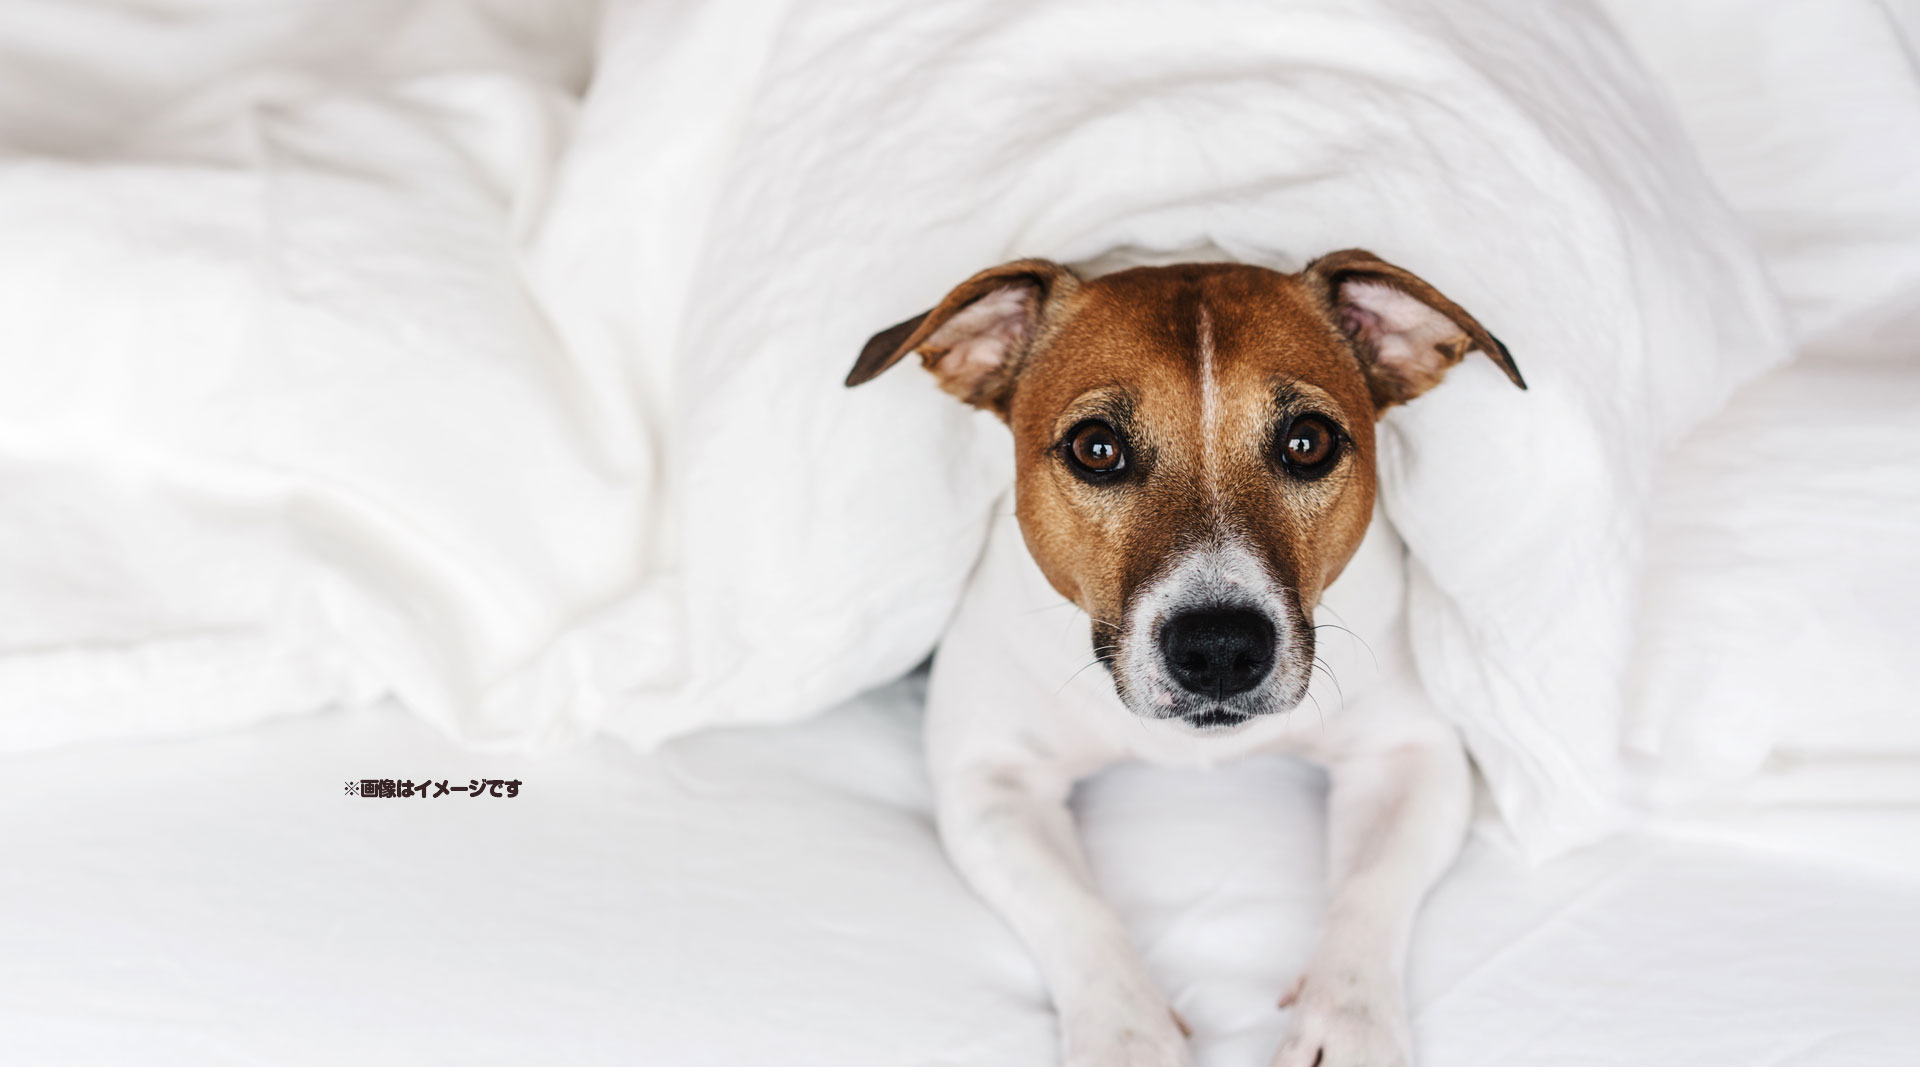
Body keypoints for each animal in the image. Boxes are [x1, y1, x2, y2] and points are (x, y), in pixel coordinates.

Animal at [848, 251, 1520, 1067]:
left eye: (1309, 441)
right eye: (1096, 447)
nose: (1221, 647)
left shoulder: (1411, 756)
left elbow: (1371, 887)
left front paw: (1345, 1027)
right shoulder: (990, 781)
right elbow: (1075, 910)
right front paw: (1127, 1039)